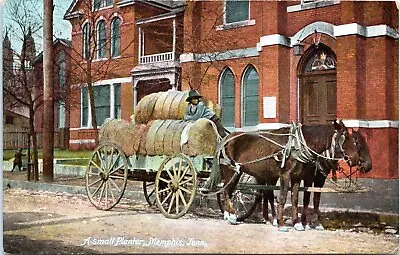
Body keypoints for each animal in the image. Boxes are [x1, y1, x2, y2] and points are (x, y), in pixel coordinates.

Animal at [206, 119, 360, 231]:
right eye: (345, 137)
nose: (356, 160)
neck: (297, 145)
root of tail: (226, 138)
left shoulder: (297, 177)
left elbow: (295, 199)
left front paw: (297, 224)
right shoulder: (285, 175)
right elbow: (283, 197)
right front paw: (281, 224)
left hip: (238, 172)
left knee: (229, 191)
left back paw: (229, 215)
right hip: (231, 170)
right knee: (226, 191)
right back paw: (232, 216)